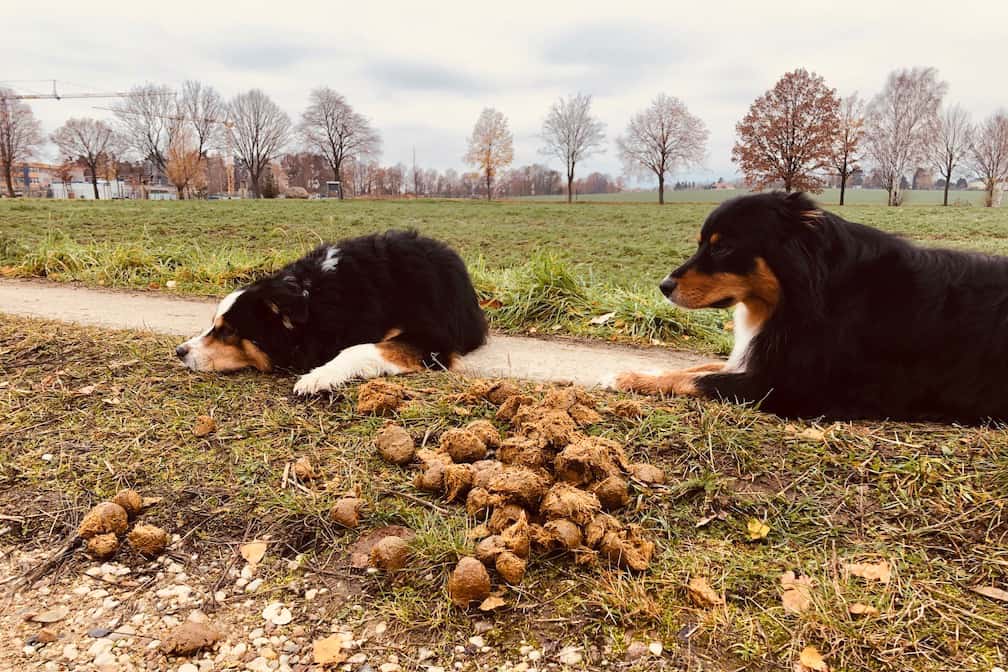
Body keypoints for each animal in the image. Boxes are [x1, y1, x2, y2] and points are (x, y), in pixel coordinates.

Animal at [176, 229, 487, 394]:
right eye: (213, 324)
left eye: (228, 331)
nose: (180, 351)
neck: (312, 299)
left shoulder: (433, 340)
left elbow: (358, 349)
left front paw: (318, 376)